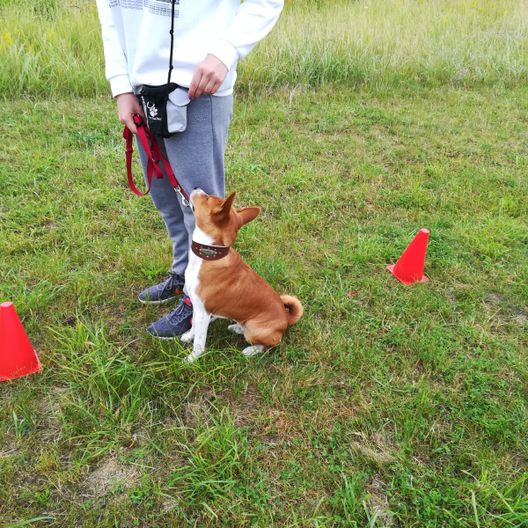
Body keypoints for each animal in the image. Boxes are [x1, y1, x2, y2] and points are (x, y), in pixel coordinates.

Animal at [182, 190, 304, 364]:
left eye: (206, 197)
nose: (196, 188)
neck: (210, 255)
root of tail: (286, 319)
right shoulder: (196, 307)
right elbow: (193, 328)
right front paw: (188, 336)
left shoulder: (203, 312)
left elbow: (199, 342)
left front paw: (192, 359)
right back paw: (237, 327)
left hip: (255, 329)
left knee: (268, 345)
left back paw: (250, 350)